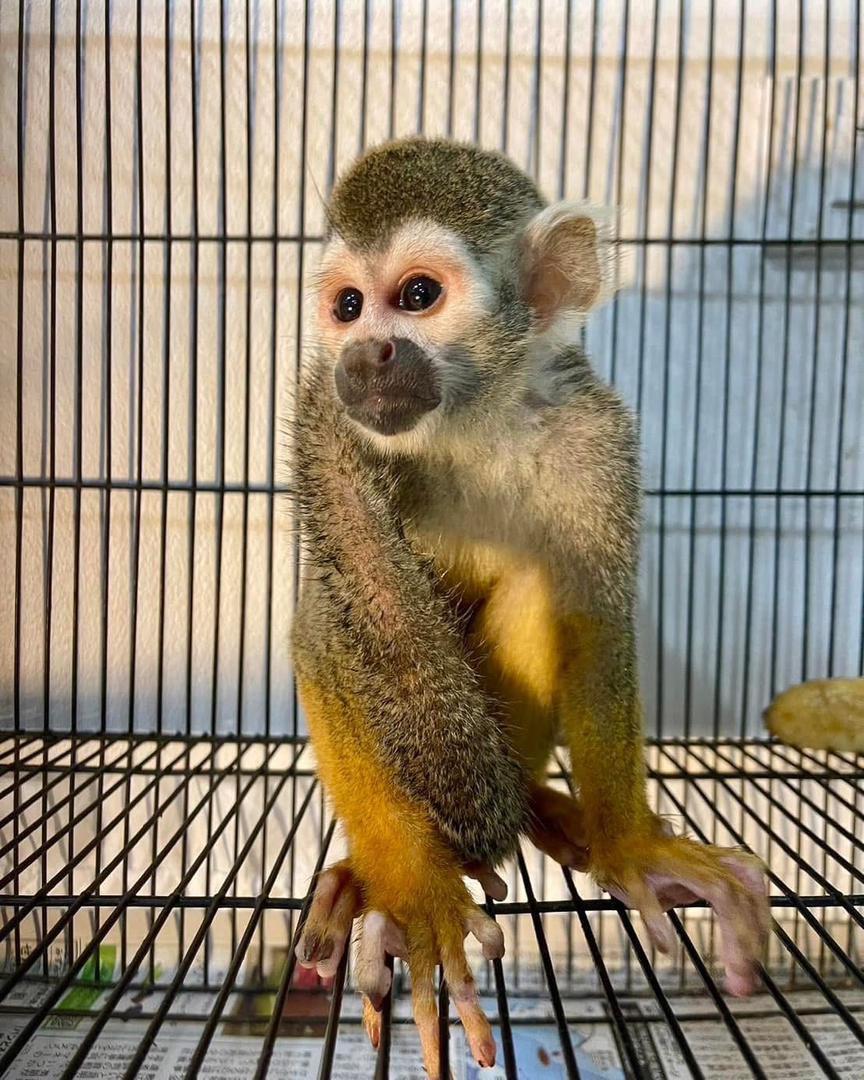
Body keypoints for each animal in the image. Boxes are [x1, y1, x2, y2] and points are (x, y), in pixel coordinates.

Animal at [290, 137, 770, 1076]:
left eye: (417, 296)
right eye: (349, 306)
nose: (361, 357)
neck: (473, 427)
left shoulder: (597, 435)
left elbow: (596, 620)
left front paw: (631, 846)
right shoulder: (352, 459)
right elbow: (326, 634)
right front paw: (413, 894)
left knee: (535, 583)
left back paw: (543, 807)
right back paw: (370, 875)